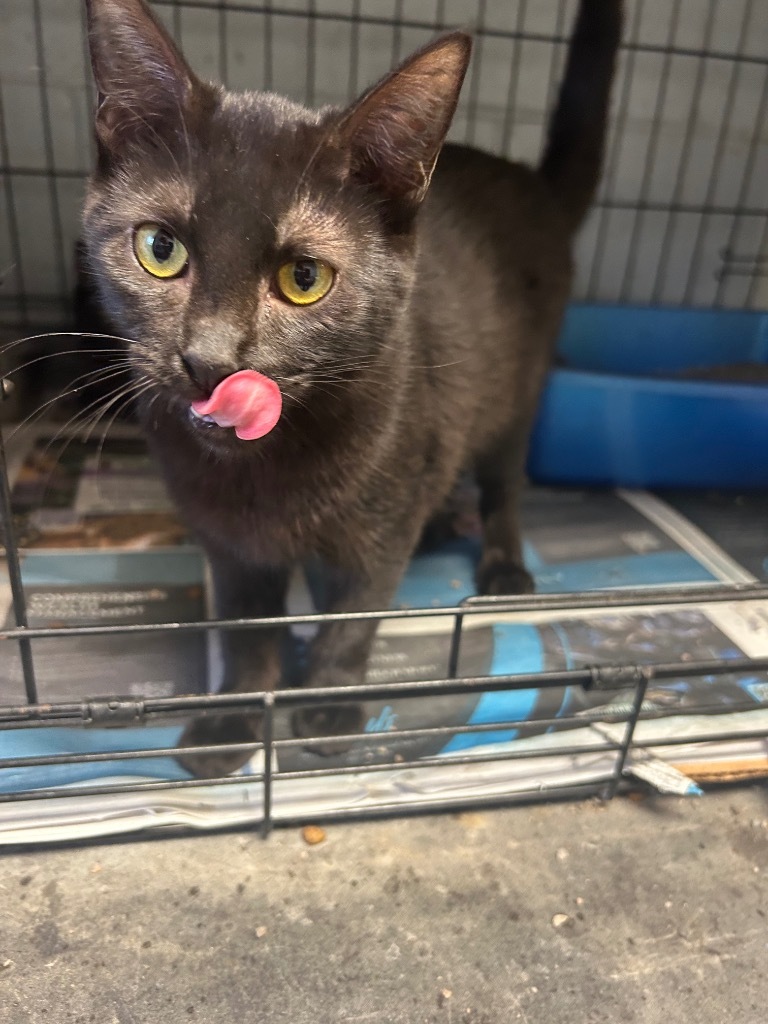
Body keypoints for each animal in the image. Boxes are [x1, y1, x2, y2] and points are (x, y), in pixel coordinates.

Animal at [81, 0, 622, 770]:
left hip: (517, 395)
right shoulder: (230, 547)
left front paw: (329, 708)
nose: (210, 359)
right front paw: (234, 719)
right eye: (160, 249)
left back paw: (503, 564)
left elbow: (355, 617)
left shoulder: (376, 534)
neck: (264, 475)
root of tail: (529, 180)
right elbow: (246, 632)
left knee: (503, 484)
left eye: (304, 279)